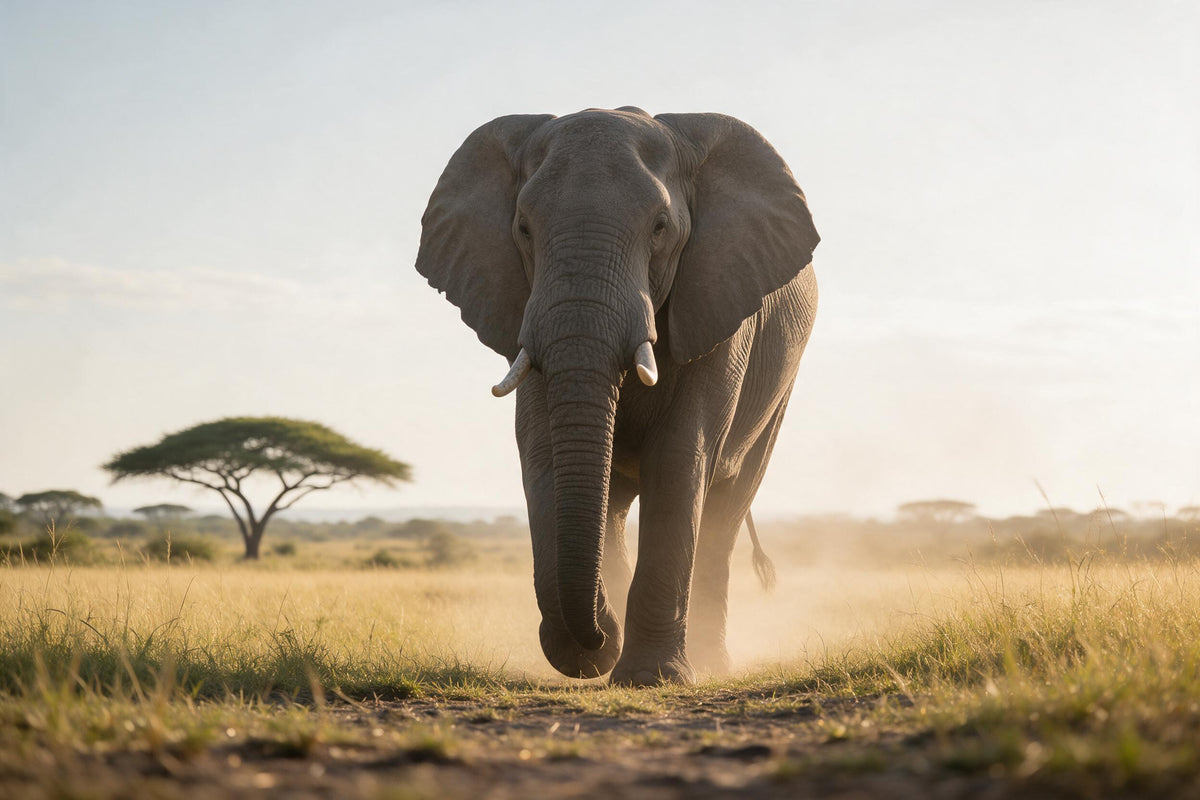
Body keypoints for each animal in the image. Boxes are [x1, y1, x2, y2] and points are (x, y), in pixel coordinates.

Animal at [416, 107, 819, 685]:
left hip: (780, 383)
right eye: (523, 228)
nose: (600, 638)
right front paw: (595, 651)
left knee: (726, 507)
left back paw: (711, 665)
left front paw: (649, 677)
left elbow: (678, 458)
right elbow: (542, 453)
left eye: (660, 228)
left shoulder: (720, 310)